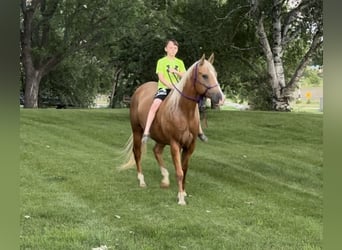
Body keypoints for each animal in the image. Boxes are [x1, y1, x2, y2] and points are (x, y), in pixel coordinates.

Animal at [120, 53, 224, 204]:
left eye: (215, 74)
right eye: (204, 75)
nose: (220, 98)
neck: (182, 111)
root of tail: (140, 89)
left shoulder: (190, 145)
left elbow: (184, 169)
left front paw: (183, 192)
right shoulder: (175, 144)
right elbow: (179, 171)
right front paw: (180, 198)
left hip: (161, 137)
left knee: (156, 151)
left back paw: (165, 178)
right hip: (137, 131)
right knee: (137, 153)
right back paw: (142, 181)